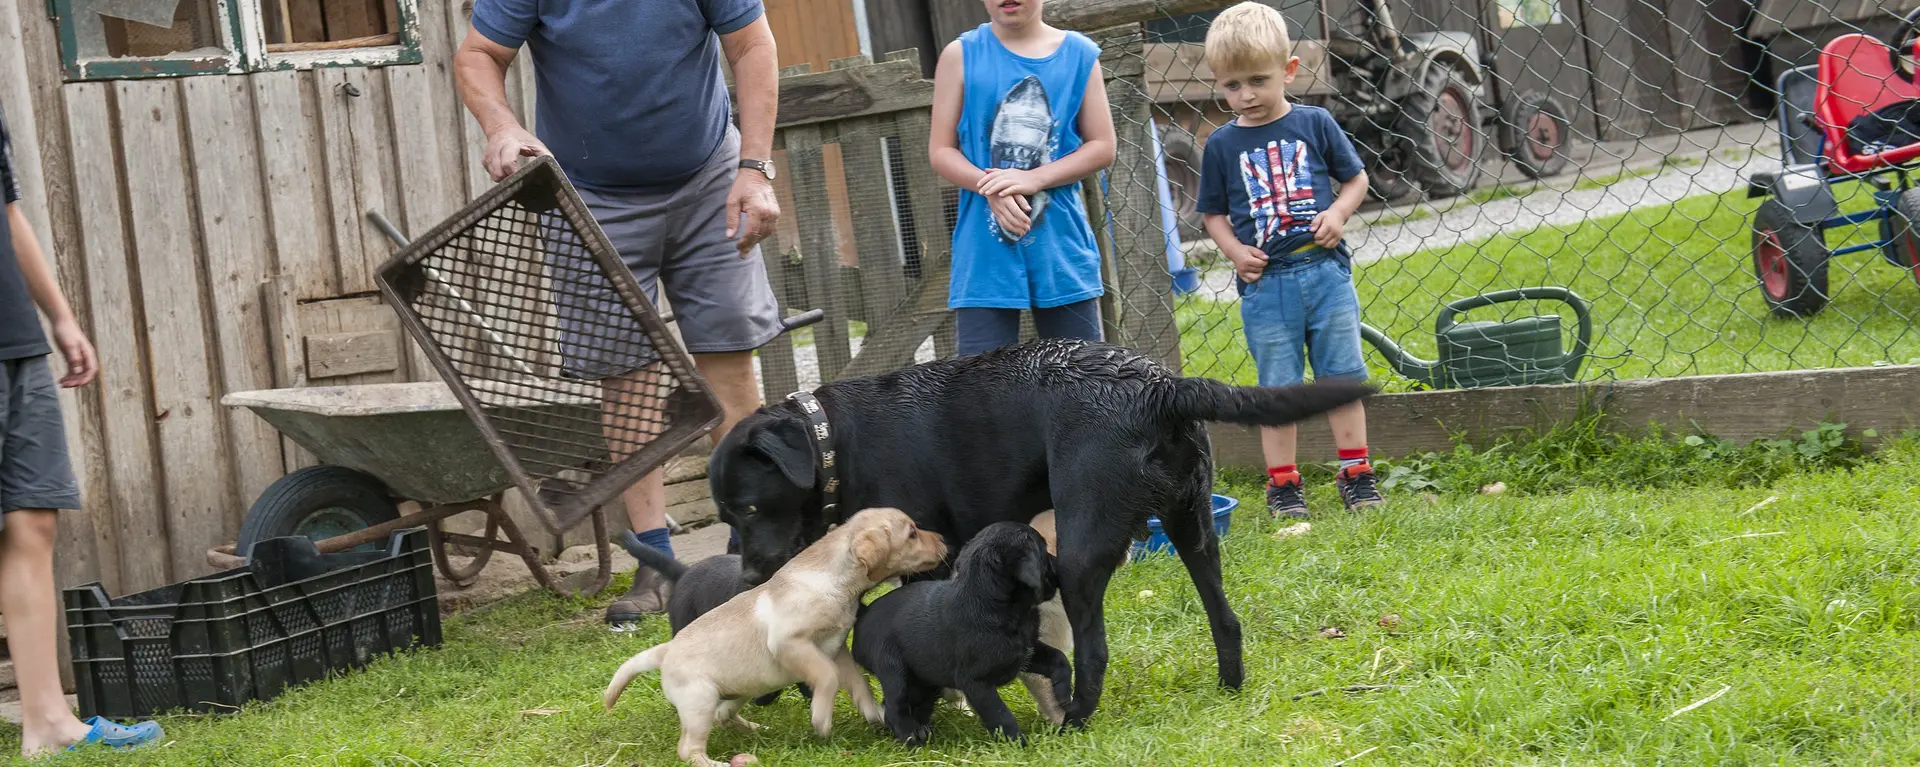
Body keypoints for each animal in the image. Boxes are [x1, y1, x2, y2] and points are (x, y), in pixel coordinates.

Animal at [852, 522, 1067, 745]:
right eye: (1043, 549)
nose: (1060, 564)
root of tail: (863, 613)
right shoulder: (976, 683)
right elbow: (1001, 715)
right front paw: (1018, 744)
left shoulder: (1026, 652)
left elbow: (1058, 658)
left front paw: (1063, 693)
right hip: (894, 670)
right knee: (895, 709)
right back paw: (912, 739)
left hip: (924, 681)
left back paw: (921, 728)